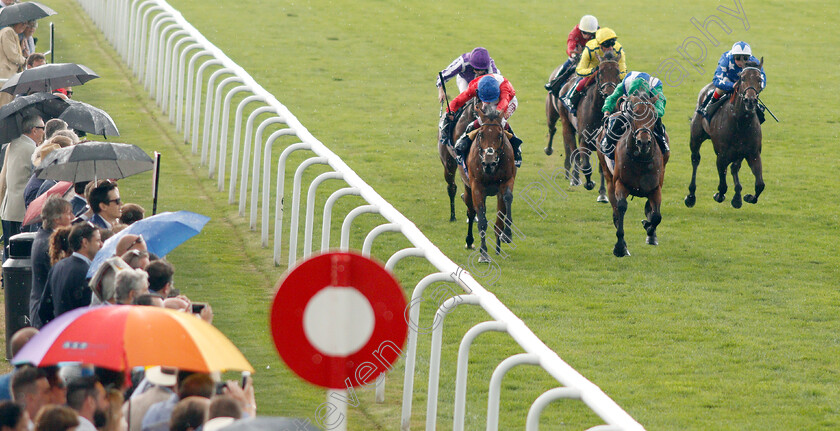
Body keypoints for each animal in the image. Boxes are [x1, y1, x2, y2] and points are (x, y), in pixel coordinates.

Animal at [462, 106, 516, 264]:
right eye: (481, 135)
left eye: (500, 135)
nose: (488, 163)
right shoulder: (476, 186)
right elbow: (481, 219)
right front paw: (484, 254)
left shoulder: (507, 180)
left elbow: (507, 199)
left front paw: (507, 234)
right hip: (468, 187)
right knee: (471, 211)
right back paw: (469, 241)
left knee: (499, 217)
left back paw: (498, 247)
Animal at [544, 51, 624, 202]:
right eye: (600, 72)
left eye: (617, 72)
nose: (609, 93)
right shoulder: (583, 138)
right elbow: (585, 164)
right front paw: (588, 183)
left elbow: (602, 168)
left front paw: (602, 194)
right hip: (561, 119)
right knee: (561, 138)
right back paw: (572, 176)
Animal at [596, 93, 668, 258]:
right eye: (634, 114)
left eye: (654, 115)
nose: (644, 142)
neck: (641, 159)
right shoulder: (620, 183)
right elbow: (621, 208)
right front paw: (620, 247)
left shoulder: (656, 188)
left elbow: (657, 216)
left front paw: (649, 229)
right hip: (608, 176)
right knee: (615, 210)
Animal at [684, 58, 764, 209]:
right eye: (742, 78)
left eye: (759, 79)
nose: (750, 100)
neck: (740, 122)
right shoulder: (721, 155)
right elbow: (722, 185)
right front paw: (719, 195)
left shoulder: (753, 154)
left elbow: (760, 184)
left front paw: (747, 197)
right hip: (696, 137)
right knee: (695, 159)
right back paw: (691, 195)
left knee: (734, 167)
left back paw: (737, 196)